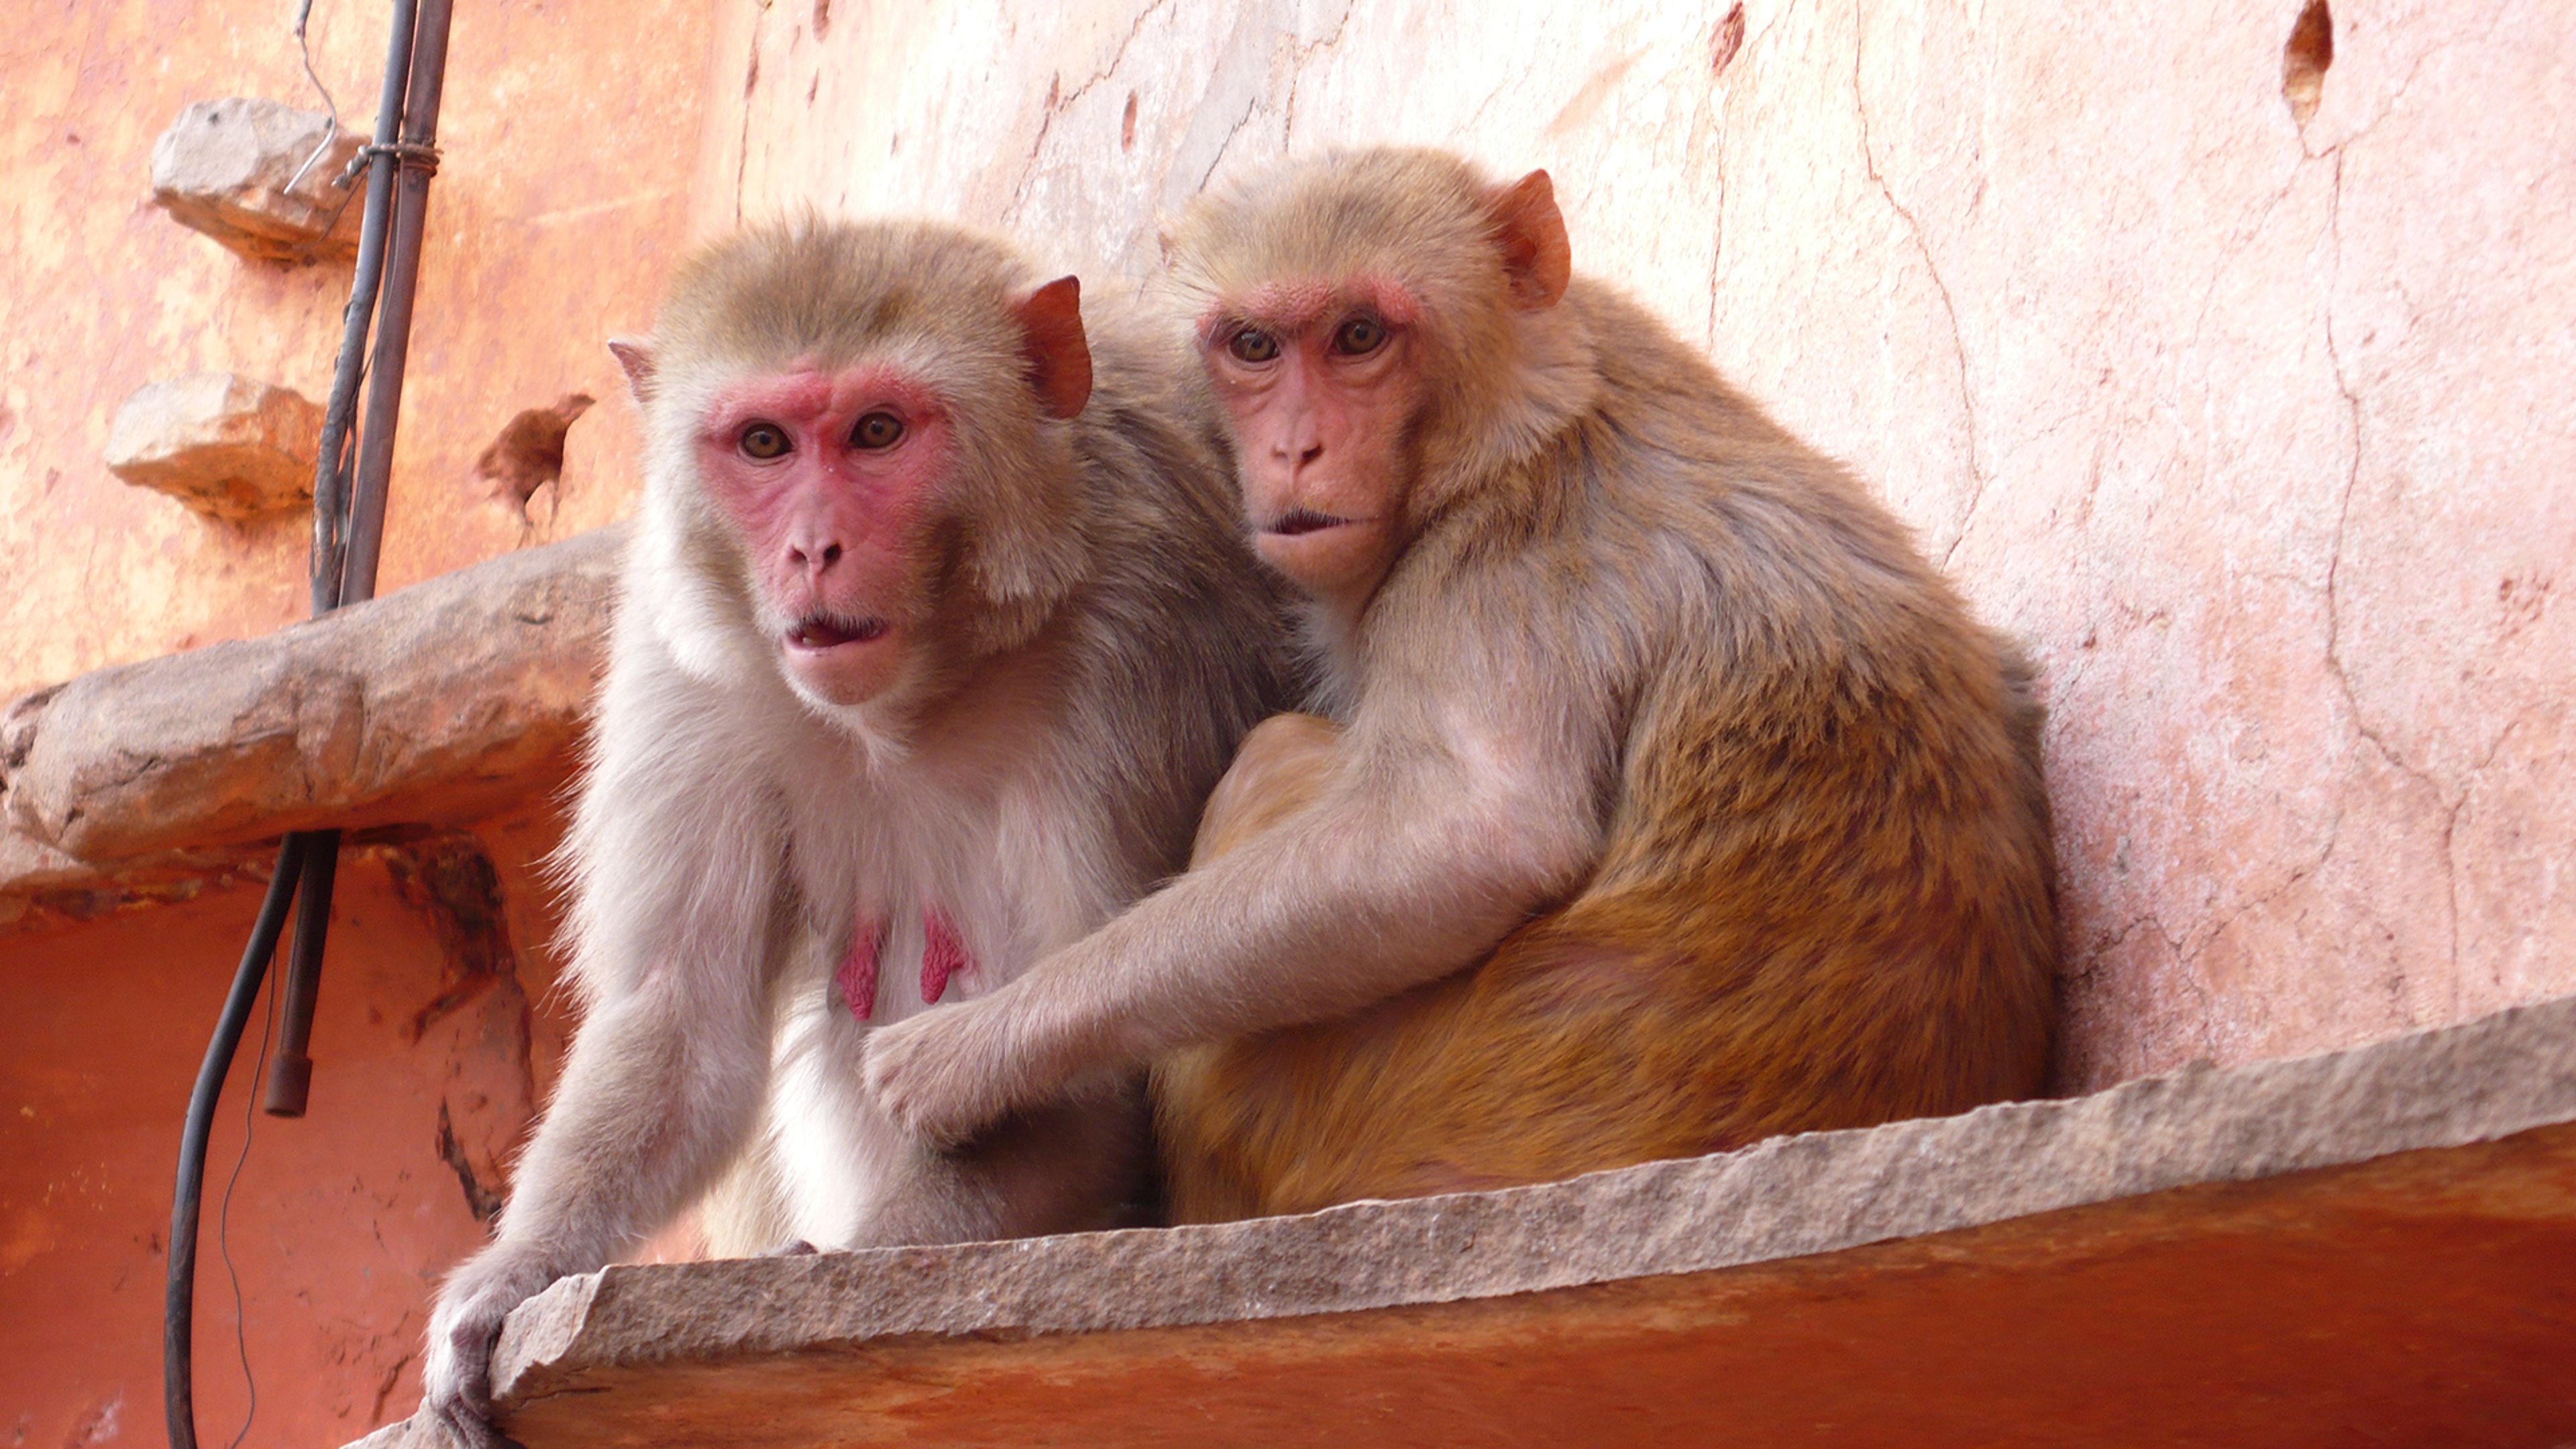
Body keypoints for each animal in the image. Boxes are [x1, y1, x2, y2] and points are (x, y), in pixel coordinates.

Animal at [416, 218, 1289, 1443]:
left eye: (878, 432)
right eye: (765, 444)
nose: (812, 550)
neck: (923, 683)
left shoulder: (1142, 641)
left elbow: (1084, 1083)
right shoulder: (689, 654)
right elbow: (683, 1022)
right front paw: (511, 1277)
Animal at [859, 148, 2057, 1223]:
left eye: (1359, 336)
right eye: (1253, 346)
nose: (1296, 450)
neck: (1517, 418)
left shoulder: (1494, 574)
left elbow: (1466, 840)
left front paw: (976, 1050)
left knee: (1282, 757)